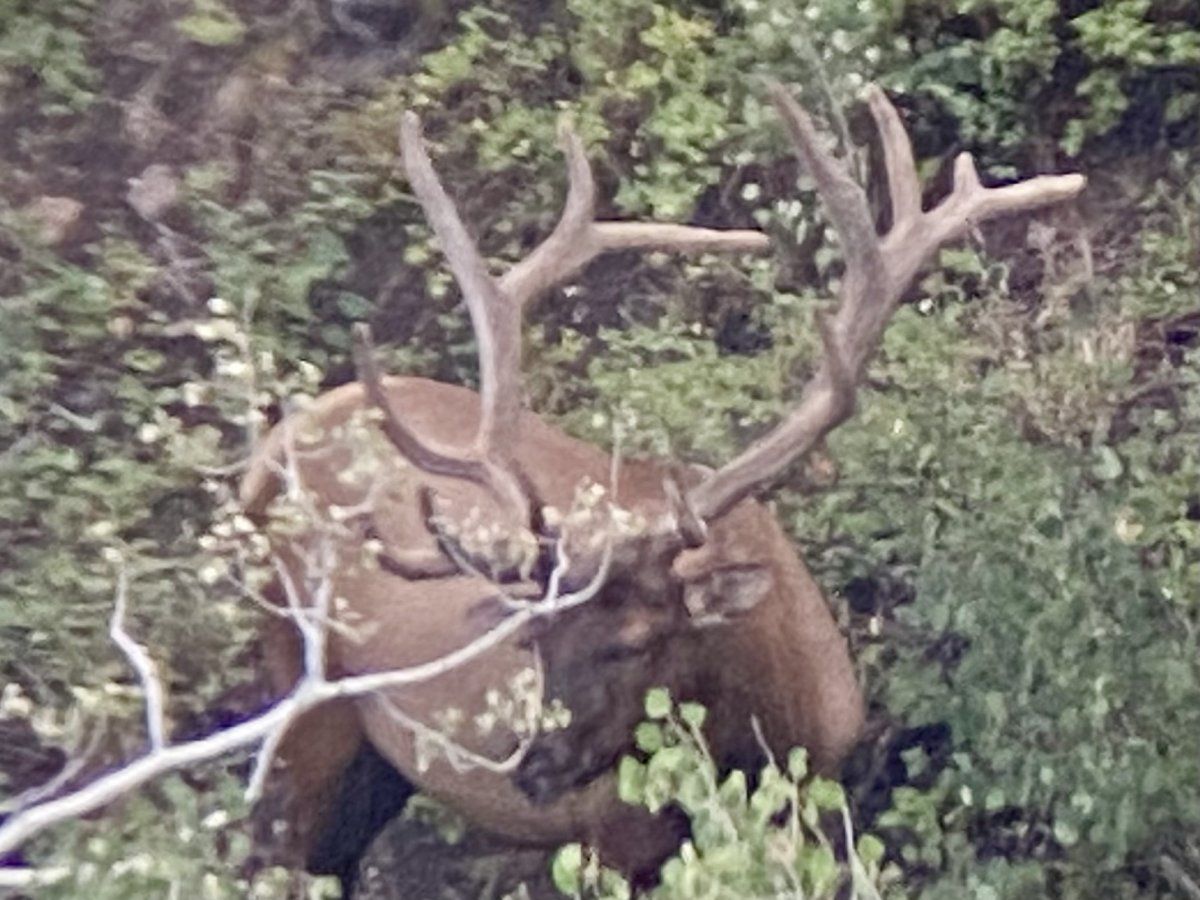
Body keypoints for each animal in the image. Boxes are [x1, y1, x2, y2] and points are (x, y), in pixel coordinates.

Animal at [238, 82, 1084, 897]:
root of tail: (273, 446)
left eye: (636, 641)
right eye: (533, 639)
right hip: (301, 689)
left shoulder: (821, 797)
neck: (769, 729)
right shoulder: (609, 837)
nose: (529, 766)